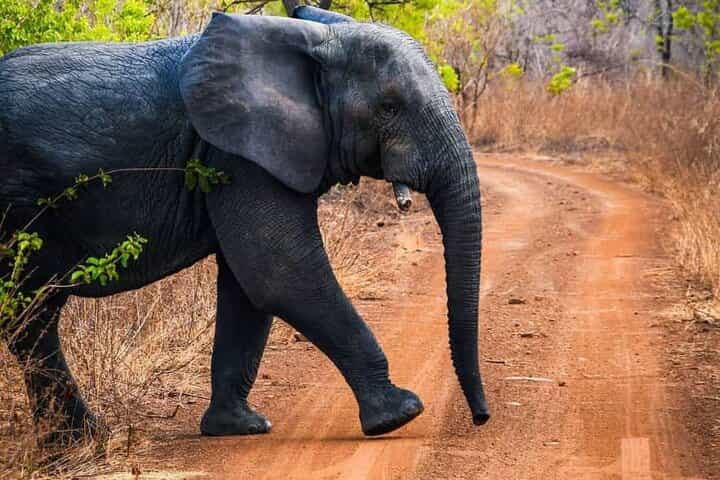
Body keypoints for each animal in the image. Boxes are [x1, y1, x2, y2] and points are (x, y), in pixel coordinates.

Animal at [0, 5, 490, 446]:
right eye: (389, 107)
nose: (481, 419)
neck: (311, 42)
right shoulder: (238, 154)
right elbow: (281, 272)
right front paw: (400, 413)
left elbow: (248, 287)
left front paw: (239, 428)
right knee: (30, 314)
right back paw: (83, 441)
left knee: (33, 317)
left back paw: (76, 441)